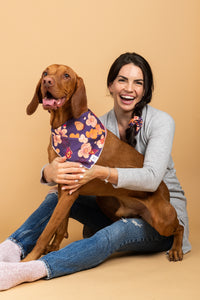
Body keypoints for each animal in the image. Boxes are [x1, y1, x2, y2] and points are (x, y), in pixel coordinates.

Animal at [24, 64, 184, 262]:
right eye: (45, 73)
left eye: (66, 75)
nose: (47, 81)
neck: (63, 126)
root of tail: (165, 192)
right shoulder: (63, 185)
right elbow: (60, 225)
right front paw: (54, 248)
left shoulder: (70, 191)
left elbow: (47, 230)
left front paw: (28, 260)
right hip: (107, 201)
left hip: (163, 219)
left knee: (180, 228)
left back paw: (176, 249)